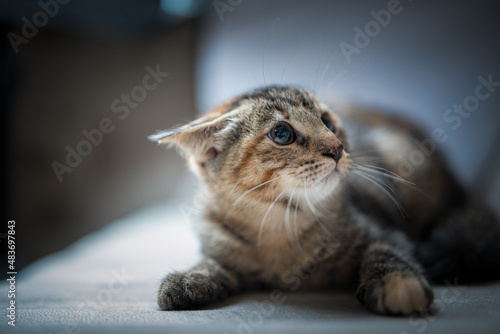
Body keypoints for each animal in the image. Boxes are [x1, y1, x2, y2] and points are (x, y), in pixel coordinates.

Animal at [148, 86, 500, 316]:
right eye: (281, 133)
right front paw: (189, 278)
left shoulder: (383, 229)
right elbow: (215, 263)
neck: (280, 227)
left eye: (328, 122)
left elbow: (388, 252)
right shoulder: (220, 241)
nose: (337, 148)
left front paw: (397, 283)